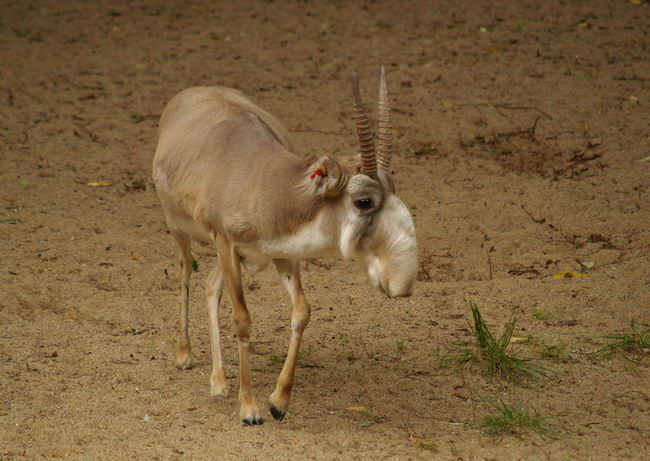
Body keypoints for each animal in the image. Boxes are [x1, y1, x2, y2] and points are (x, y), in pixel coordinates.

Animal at [151, 67, 416, 424]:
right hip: (179, 228)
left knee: (210, 286)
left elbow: (301, 312)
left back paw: (219, 383)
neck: (264, 187)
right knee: (185, 271)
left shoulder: (282, 256)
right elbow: (242, 320)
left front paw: (278, 402)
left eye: (394, 186)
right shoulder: (228, 245)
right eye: (363, 201)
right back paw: (185, 355)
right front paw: (249, 409)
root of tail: (192, 93)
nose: (401, 283)